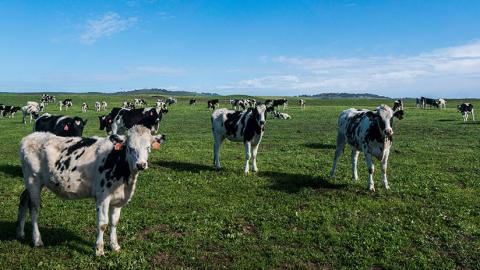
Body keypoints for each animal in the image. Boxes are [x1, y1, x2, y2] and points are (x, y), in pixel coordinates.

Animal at [16, 125, 166, 256]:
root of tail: (31, 136)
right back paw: (37, 240)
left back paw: (20, 233)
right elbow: (102, 223)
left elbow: (114, 222)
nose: (141, 164)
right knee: (34, 209)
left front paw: (115, 246)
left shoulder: (119, 200)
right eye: (130, 147)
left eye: (148, 147)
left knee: (23, 199)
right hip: (33, 180)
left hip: (30, 183)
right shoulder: (102, 197)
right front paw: (99, 250)